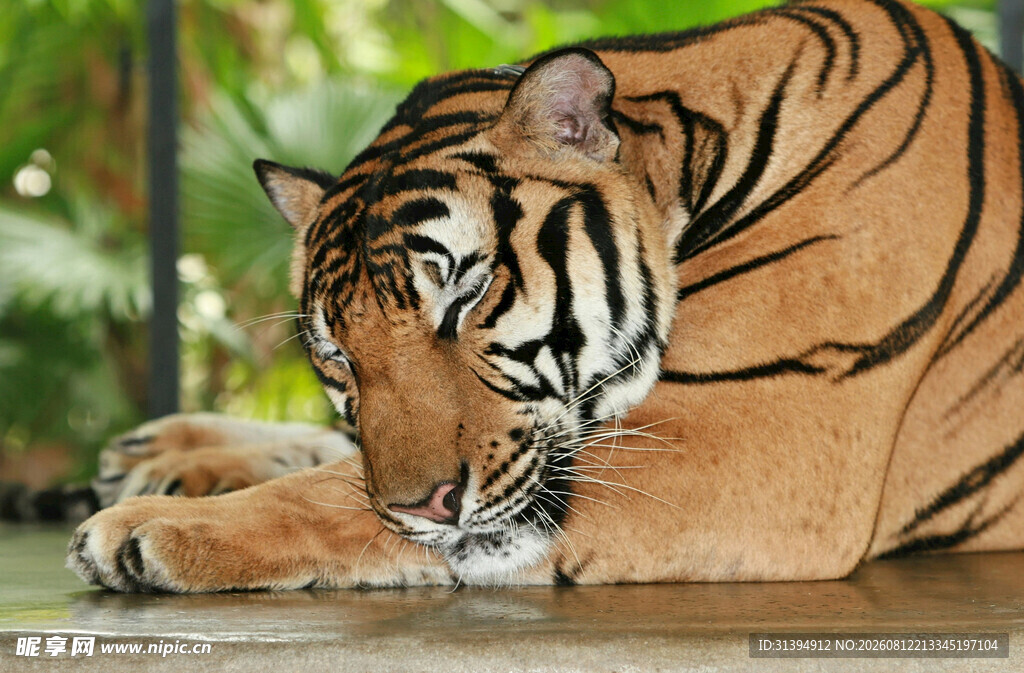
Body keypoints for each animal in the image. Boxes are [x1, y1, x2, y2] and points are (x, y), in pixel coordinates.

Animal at [63, 0, 1024, 593]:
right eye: (337, 352)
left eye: (467, 293)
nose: (425, 506)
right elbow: (343, 462)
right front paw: (170, 472)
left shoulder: (750, 444)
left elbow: (333, 492)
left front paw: (147, 528)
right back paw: (159, 444)